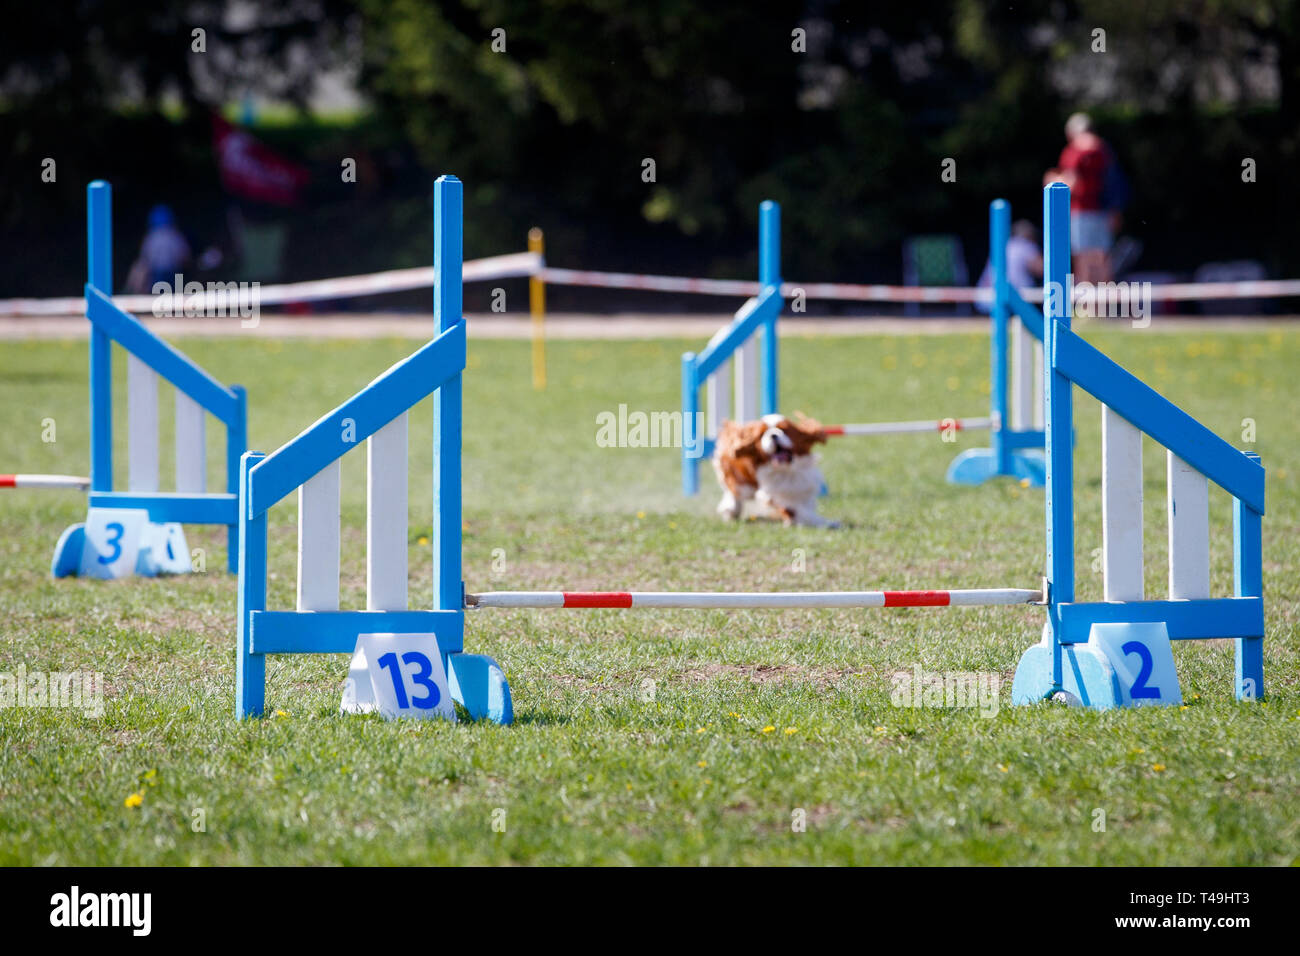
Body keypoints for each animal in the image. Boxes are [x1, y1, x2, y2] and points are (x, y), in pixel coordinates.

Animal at [707, 416, 837, 528]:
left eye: (784, 430)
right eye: (762, 435)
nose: (773, 435)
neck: (787, 470)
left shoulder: (804, 487)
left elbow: (805, 506)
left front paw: (824, 522)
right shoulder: (772, 494)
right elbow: (797, 510)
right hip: (741, 483)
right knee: (733, 491)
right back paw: (731, 509)